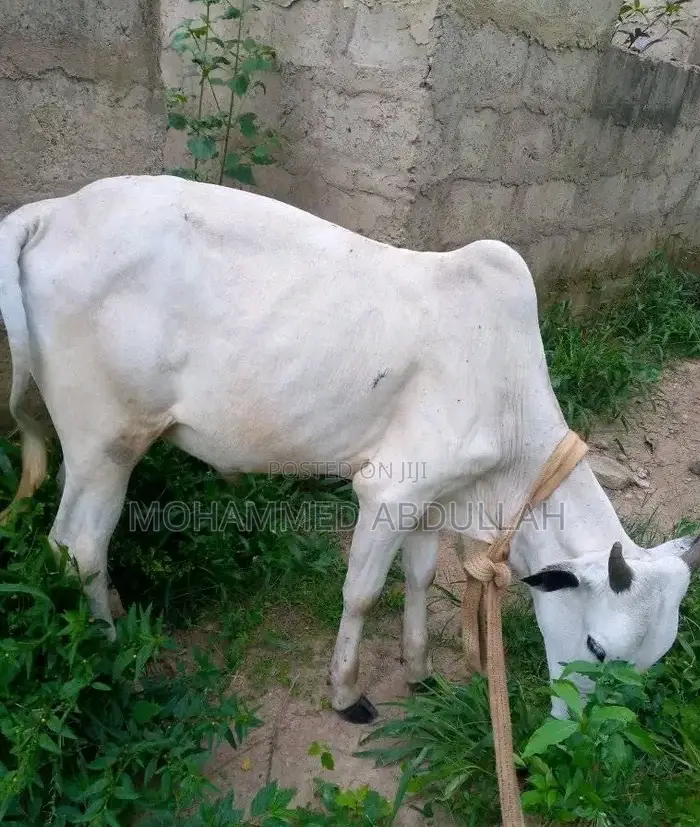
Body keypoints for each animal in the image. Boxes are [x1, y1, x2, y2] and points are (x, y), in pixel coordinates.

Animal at [0, 174, 697, 723]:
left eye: (652, 660)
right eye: (599, 648)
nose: (580, 734)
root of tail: (52, 211)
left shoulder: (431, 496)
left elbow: (419, 577)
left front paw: (419, 670)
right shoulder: (388, 491)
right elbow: (361, 594)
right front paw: (346, 693)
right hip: (105, 442)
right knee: (78, 548)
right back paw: (115, 659)